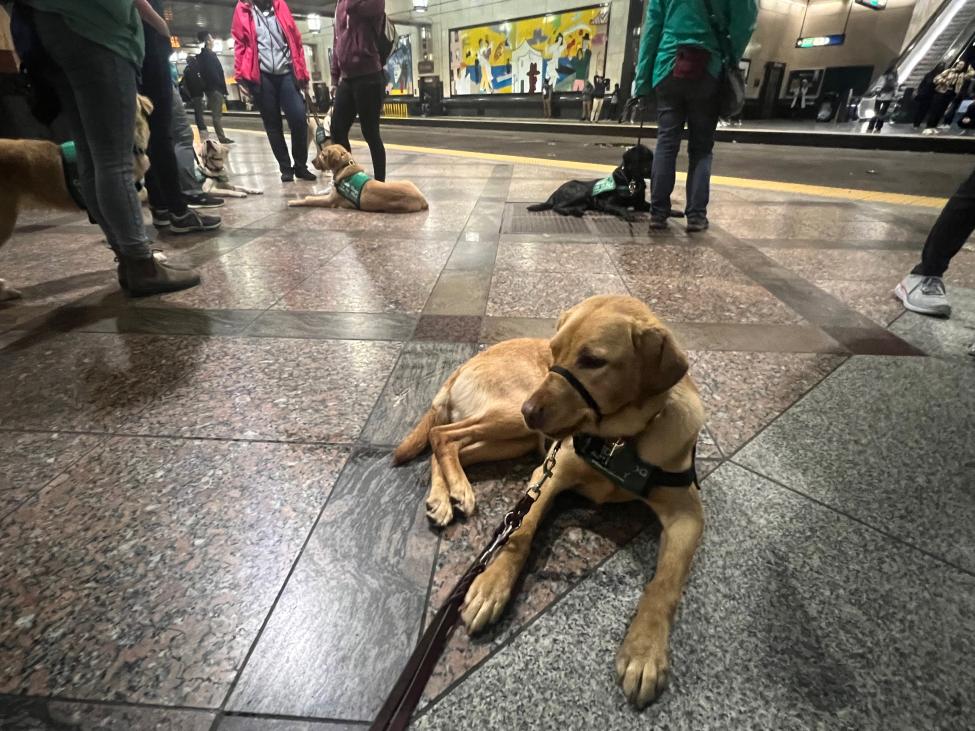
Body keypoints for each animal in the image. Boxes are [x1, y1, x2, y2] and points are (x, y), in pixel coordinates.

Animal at [288, 142, 428, 212]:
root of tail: (423, 200)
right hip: (407, 181)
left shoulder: (330, 201)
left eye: (322, 155)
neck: (344, 166)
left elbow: (310, 200)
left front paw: (294, 201)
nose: (312, 161)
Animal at [392, 294, 704, 708]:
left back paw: (445, 496)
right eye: (554, 351)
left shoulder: (687, 515)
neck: (619, 442)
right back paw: (456, 491)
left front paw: (644, 651)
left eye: (593, 361)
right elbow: (521, 532)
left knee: (450, 444)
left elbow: (665, 584)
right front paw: (491, 587)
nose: (530, 409)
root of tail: (461, 367)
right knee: (443, 435)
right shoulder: (548, 475)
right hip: (511, 421)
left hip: (515, 436)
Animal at [528, 144, 684, 222]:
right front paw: (628, 214)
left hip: (584, 202)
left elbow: (653, 206)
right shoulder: (606, 203)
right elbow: (621, 207)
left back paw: (576, 211)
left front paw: (674, 212)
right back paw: (570, 211)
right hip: (580, 191)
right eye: (647, 159)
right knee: (557, 207)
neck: (631, 181)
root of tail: (555, 192)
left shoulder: (640, 204)